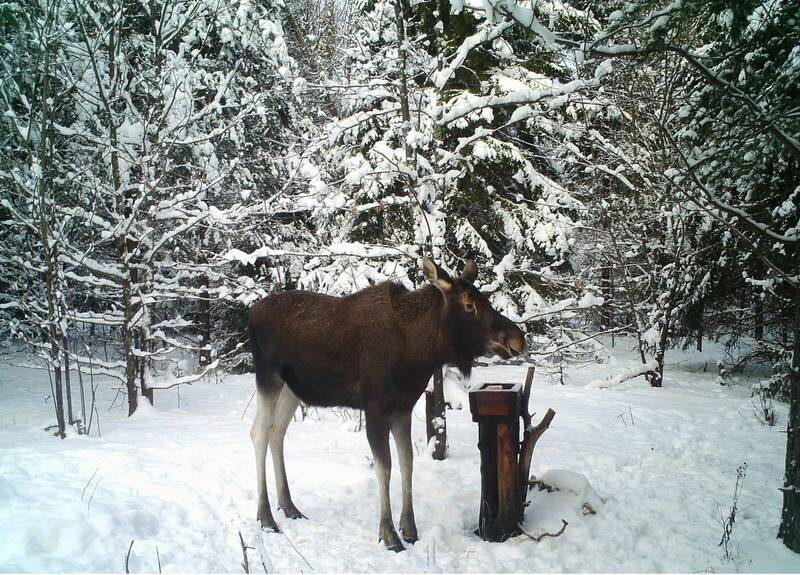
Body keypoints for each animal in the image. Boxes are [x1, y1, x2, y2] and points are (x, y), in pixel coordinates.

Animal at [247, 258, 528, 552]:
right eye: (469, 305)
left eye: (485, 299)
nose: (517, 339)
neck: (418, 352)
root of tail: (251, 313)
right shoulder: (376, 408)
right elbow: (385, 466)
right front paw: (390, 534)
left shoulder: (403, 408)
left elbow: (407, 461)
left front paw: (410, 528)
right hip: (268, 376)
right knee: (258, 432)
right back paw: (266, 517)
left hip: (292, 388)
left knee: (276, 432)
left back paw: (289, 506)